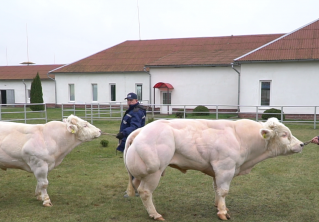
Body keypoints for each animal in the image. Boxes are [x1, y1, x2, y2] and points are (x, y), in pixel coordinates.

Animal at [124, 118, 304, 220]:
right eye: (284, 135)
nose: (302, 144)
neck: (240, 138)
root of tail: (142, 129)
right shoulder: (225, 168)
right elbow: (223, 191)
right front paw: (223, 213)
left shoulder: (217, 170)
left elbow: (216, 189)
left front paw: (219, 206)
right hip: (154, 172)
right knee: (145, 192)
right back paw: (155, 214)